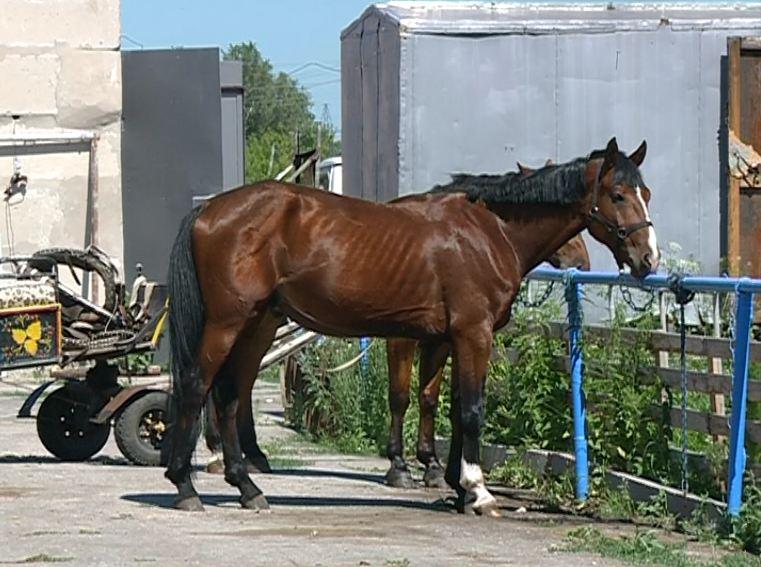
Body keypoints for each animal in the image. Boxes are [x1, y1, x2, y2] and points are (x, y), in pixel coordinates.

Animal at [163, 139, 656, 520]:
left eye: (646, 192)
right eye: (617, 194)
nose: (647, 260)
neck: (489, 231)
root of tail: (209, 211)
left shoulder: (447, 338)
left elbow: (445, 407)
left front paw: (454, 487)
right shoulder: (473, 335)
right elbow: (470, 410)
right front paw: (477, 491)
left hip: (257, 324)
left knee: (230, 395)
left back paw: (246, 487)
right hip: (228, 323)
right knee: (196, 385)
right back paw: (185, 486)